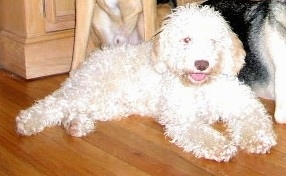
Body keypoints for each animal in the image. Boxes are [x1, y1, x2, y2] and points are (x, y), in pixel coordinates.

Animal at [16, 4, 276, 162]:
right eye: (186, 40)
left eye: (214, 40)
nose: (201, 64)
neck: (201, 89)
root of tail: (88, 62)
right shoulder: (182, 118)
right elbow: (201, 134)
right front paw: (220, 146)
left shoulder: (242, 103)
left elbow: (255, 120)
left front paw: (257, 140)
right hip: (91, 92)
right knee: (54, 104)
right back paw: (27, 122)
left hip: (107, 104)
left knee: (69, 110)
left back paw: (76, 125)